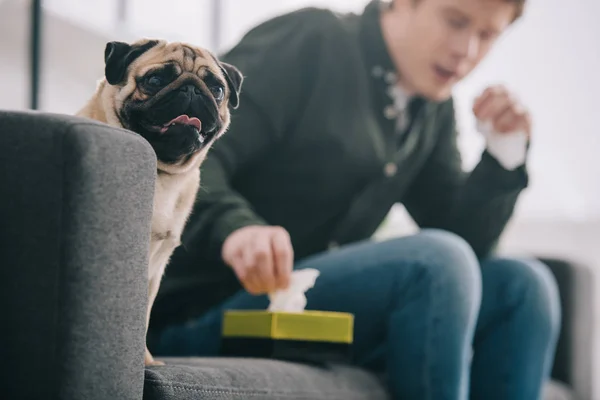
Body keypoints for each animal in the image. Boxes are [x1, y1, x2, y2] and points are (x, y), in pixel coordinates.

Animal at [76, 38, 243, 366]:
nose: (191, 89)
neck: (161, 173)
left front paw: (146, 362)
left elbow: (143, 320)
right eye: (154, 81)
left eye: (216, 89)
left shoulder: (155, 269)